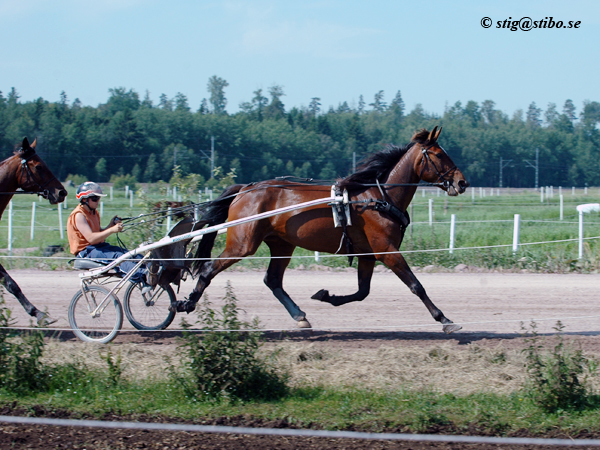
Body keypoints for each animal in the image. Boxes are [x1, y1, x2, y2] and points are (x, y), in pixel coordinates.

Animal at [172, 128, 468, 332]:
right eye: (439, 154)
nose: (462, 182)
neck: (379, 197)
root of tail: (245, 189)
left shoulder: (368, 254)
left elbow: (362, 292)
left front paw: (327, 296)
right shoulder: (386, 249)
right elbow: (416, 285)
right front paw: (444, 318)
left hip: (282, 244)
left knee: (273, 280)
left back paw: (299, 316)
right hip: (242, 243)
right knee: (209, 269)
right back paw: (186, 303)